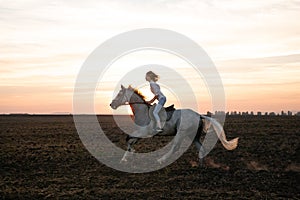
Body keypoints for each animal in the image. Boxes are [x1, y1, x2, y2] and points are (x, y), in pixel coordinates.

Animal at [110, 85, 239, 165]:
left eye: (119, 94)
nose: (111, 104)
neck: (142, 111)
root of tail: (198, 115)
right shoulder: (140, 133)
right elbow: (130, 140)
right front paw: (125, 158)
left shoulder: (144, 132)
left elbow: (128, 139)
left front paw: (131, 153)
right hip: (192, 135)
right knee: (201, 148)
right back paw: (200, 165)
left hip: (181, 133)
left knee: (175, 147)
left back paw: (161, 160)